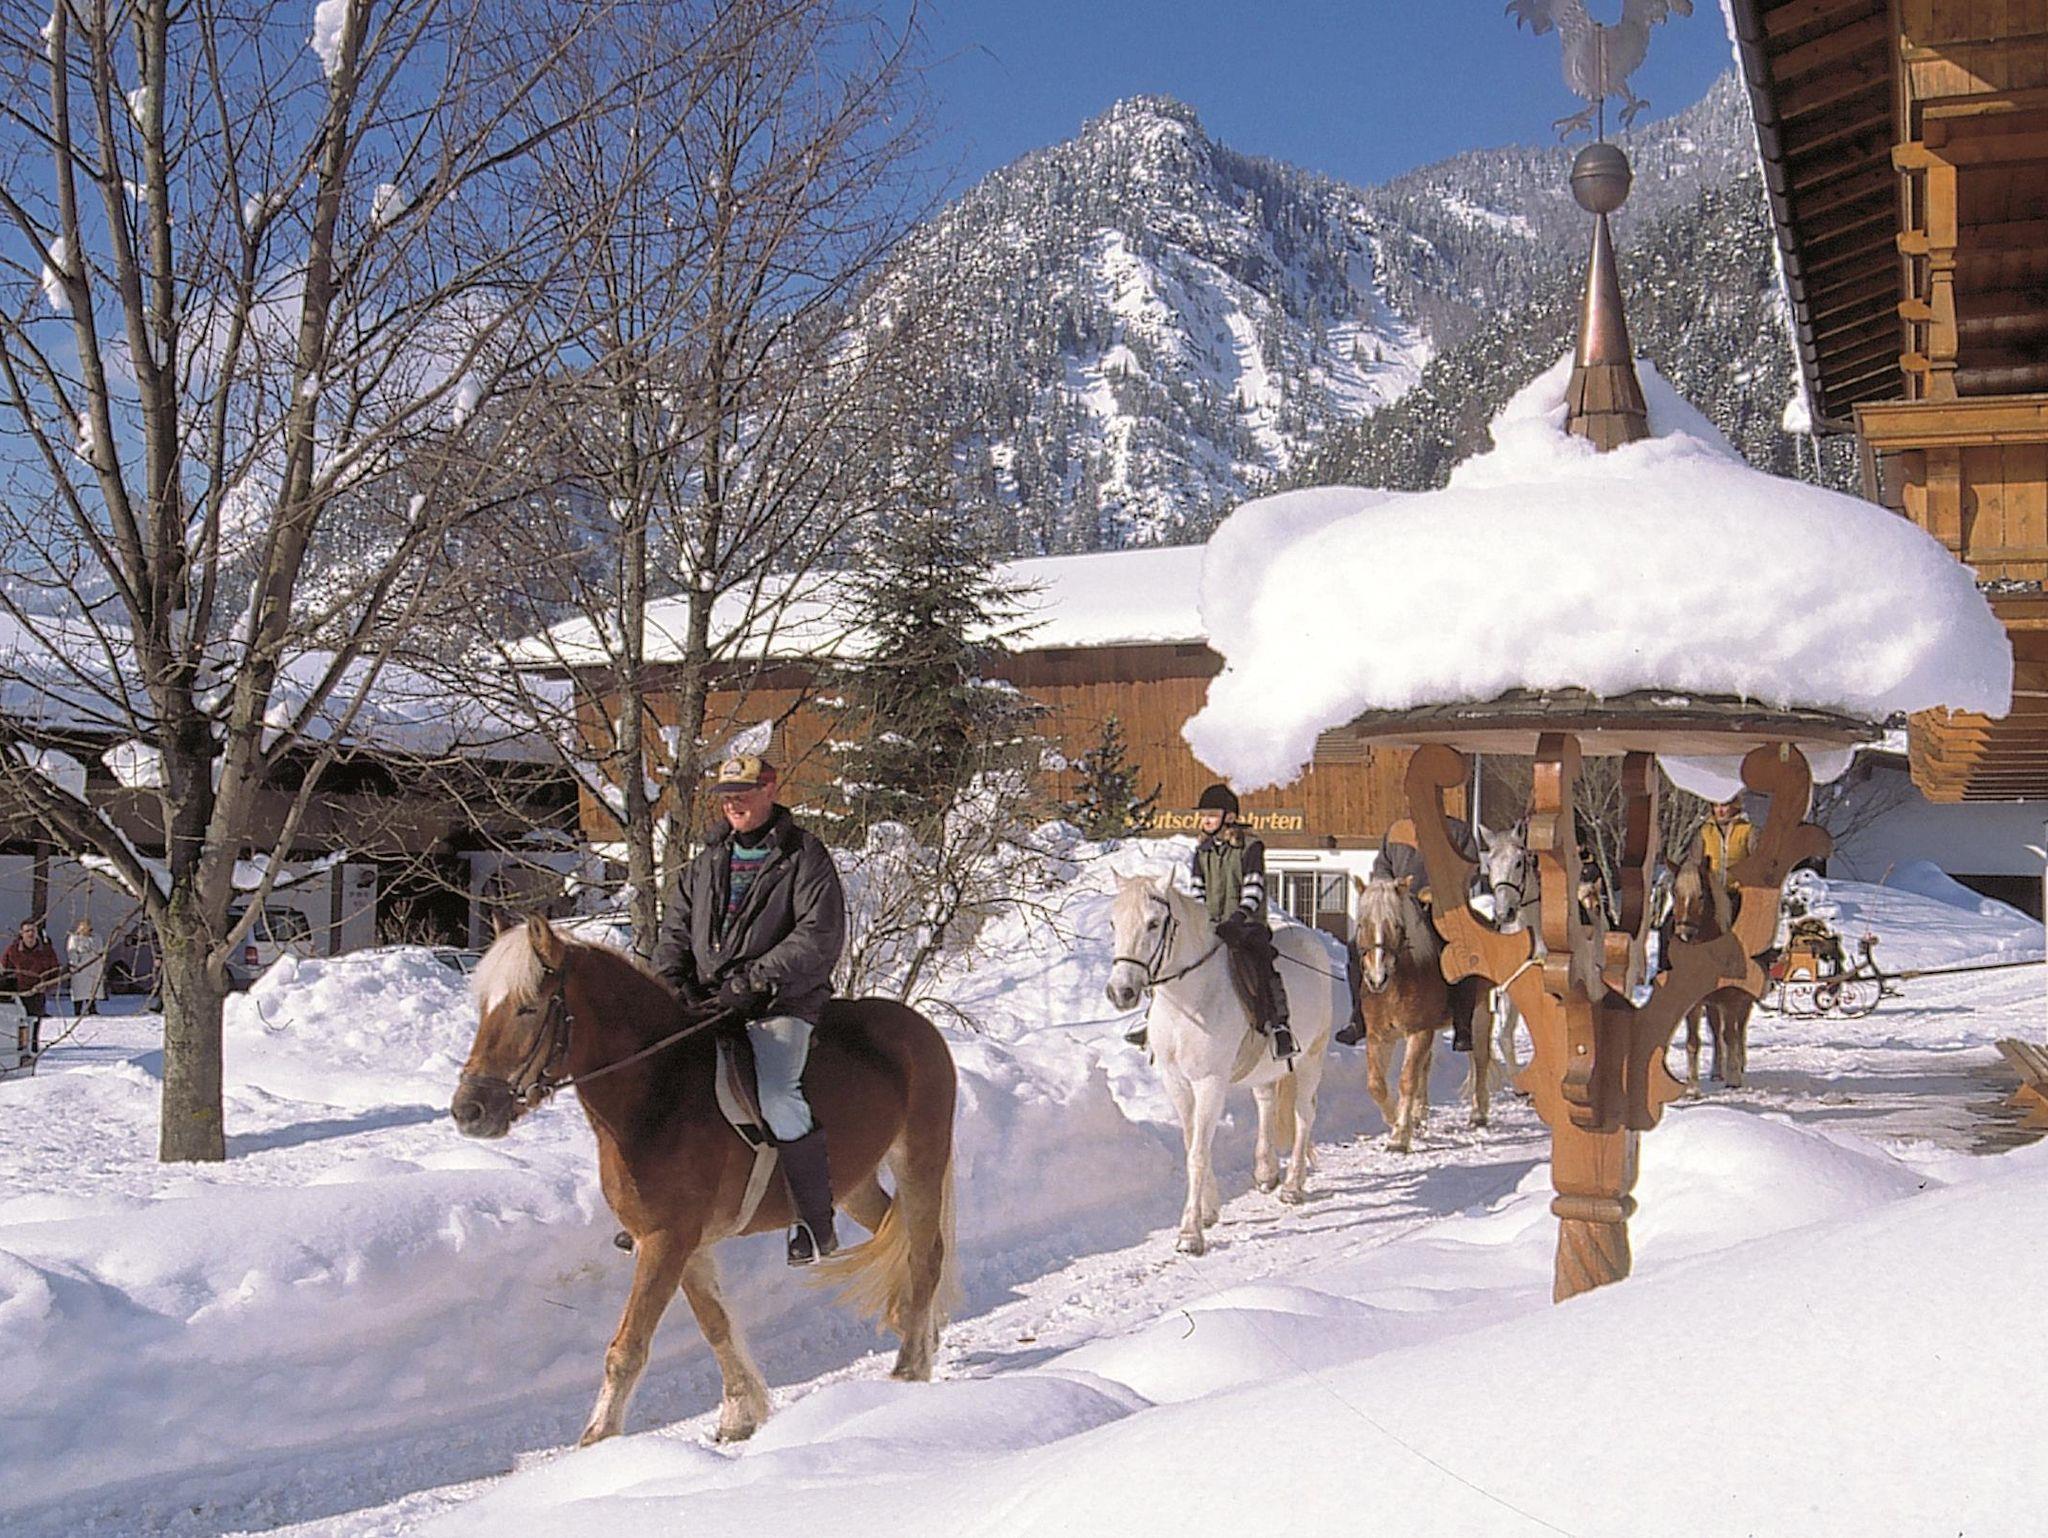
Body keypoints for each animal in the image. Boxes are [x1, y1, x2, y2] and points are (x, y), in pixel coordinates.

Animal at [449, 915, 959, 1447]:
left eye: (528, 1007)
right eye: (484, 1008)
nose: (469, 1111)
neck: (659, 1092)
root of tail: (916, 1026)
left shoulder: (666, 1240)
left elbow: (628, 1347)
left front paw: (597, 1440)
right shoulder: (682, 1244)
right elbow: (715, 1324)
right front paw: (739, 1415)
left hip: (920, 1158)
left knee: (925, 1254)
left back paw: (910, 1367)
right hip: (855, 1184)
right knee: (897, 1236)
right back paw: (919, 1331)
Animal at [1105, 874, 1341, 1254]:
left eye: (1153, 923)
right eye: (1114, 923)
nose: (1120, 992)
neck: (1188, 1001)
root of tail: (1311, 939)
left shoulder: (1209, 1082)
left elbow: (1198, 1153)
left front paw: (1190, 1233)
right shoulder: (1175, 1081)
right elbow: (1193, 1143)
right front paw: (1209, 1211)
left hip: (1311, 1059)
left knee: (1304, 1114)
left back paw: (1292, 1186)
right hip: (1266, 1069)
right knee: (1266, 1104)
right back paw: (1266, 1174)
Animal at [1353, 872, 1492, 1150]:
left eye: (1396, 925)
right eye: (1362, 924)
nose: (1376, 978)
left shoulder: (1419, 1032)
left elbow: (1407, 1079)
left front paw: (1399, 1135)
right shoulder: (1378, 1036)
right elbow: (1376, 1085)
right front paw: (1397, 1119)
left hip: (1479, 1013)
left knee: (1480, 1058)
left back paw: (1478, 1114)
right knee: (1426, 1067)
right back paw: (1419, 1115)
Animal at [1669, 851, 1755, 1088]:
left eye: (1701, 896)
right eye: (1675, 893)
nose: (1685, 934)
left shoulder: (1732, 998)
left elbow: (1731, 1035)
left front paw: (1734, 1078)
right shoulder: (1695, 1001)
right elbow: (1693, 1041)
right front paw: (1692, 1087)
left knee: (1739, 1029)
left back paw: (1738, 1064)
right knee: (1716, 1031)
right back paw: (1717, 1071)